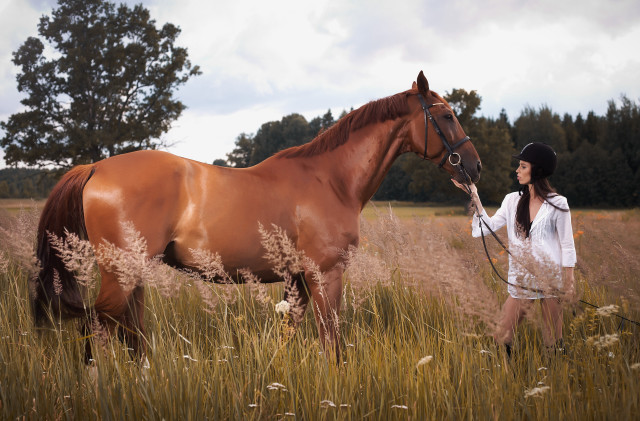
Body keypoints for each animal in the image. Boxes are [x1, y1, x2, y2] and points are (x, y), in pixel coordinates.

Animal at [33, 71, 481, 362]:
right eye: (446, 116)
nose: (474, 168)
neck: (330, 179)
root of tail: (94, 168)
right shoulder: (326, 274)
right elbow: (332, 343)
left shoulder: (298, 279)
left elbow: (290, 335)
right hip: (121, 275)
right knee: (96, 330)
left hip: (134, 274)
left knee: (131, 336)